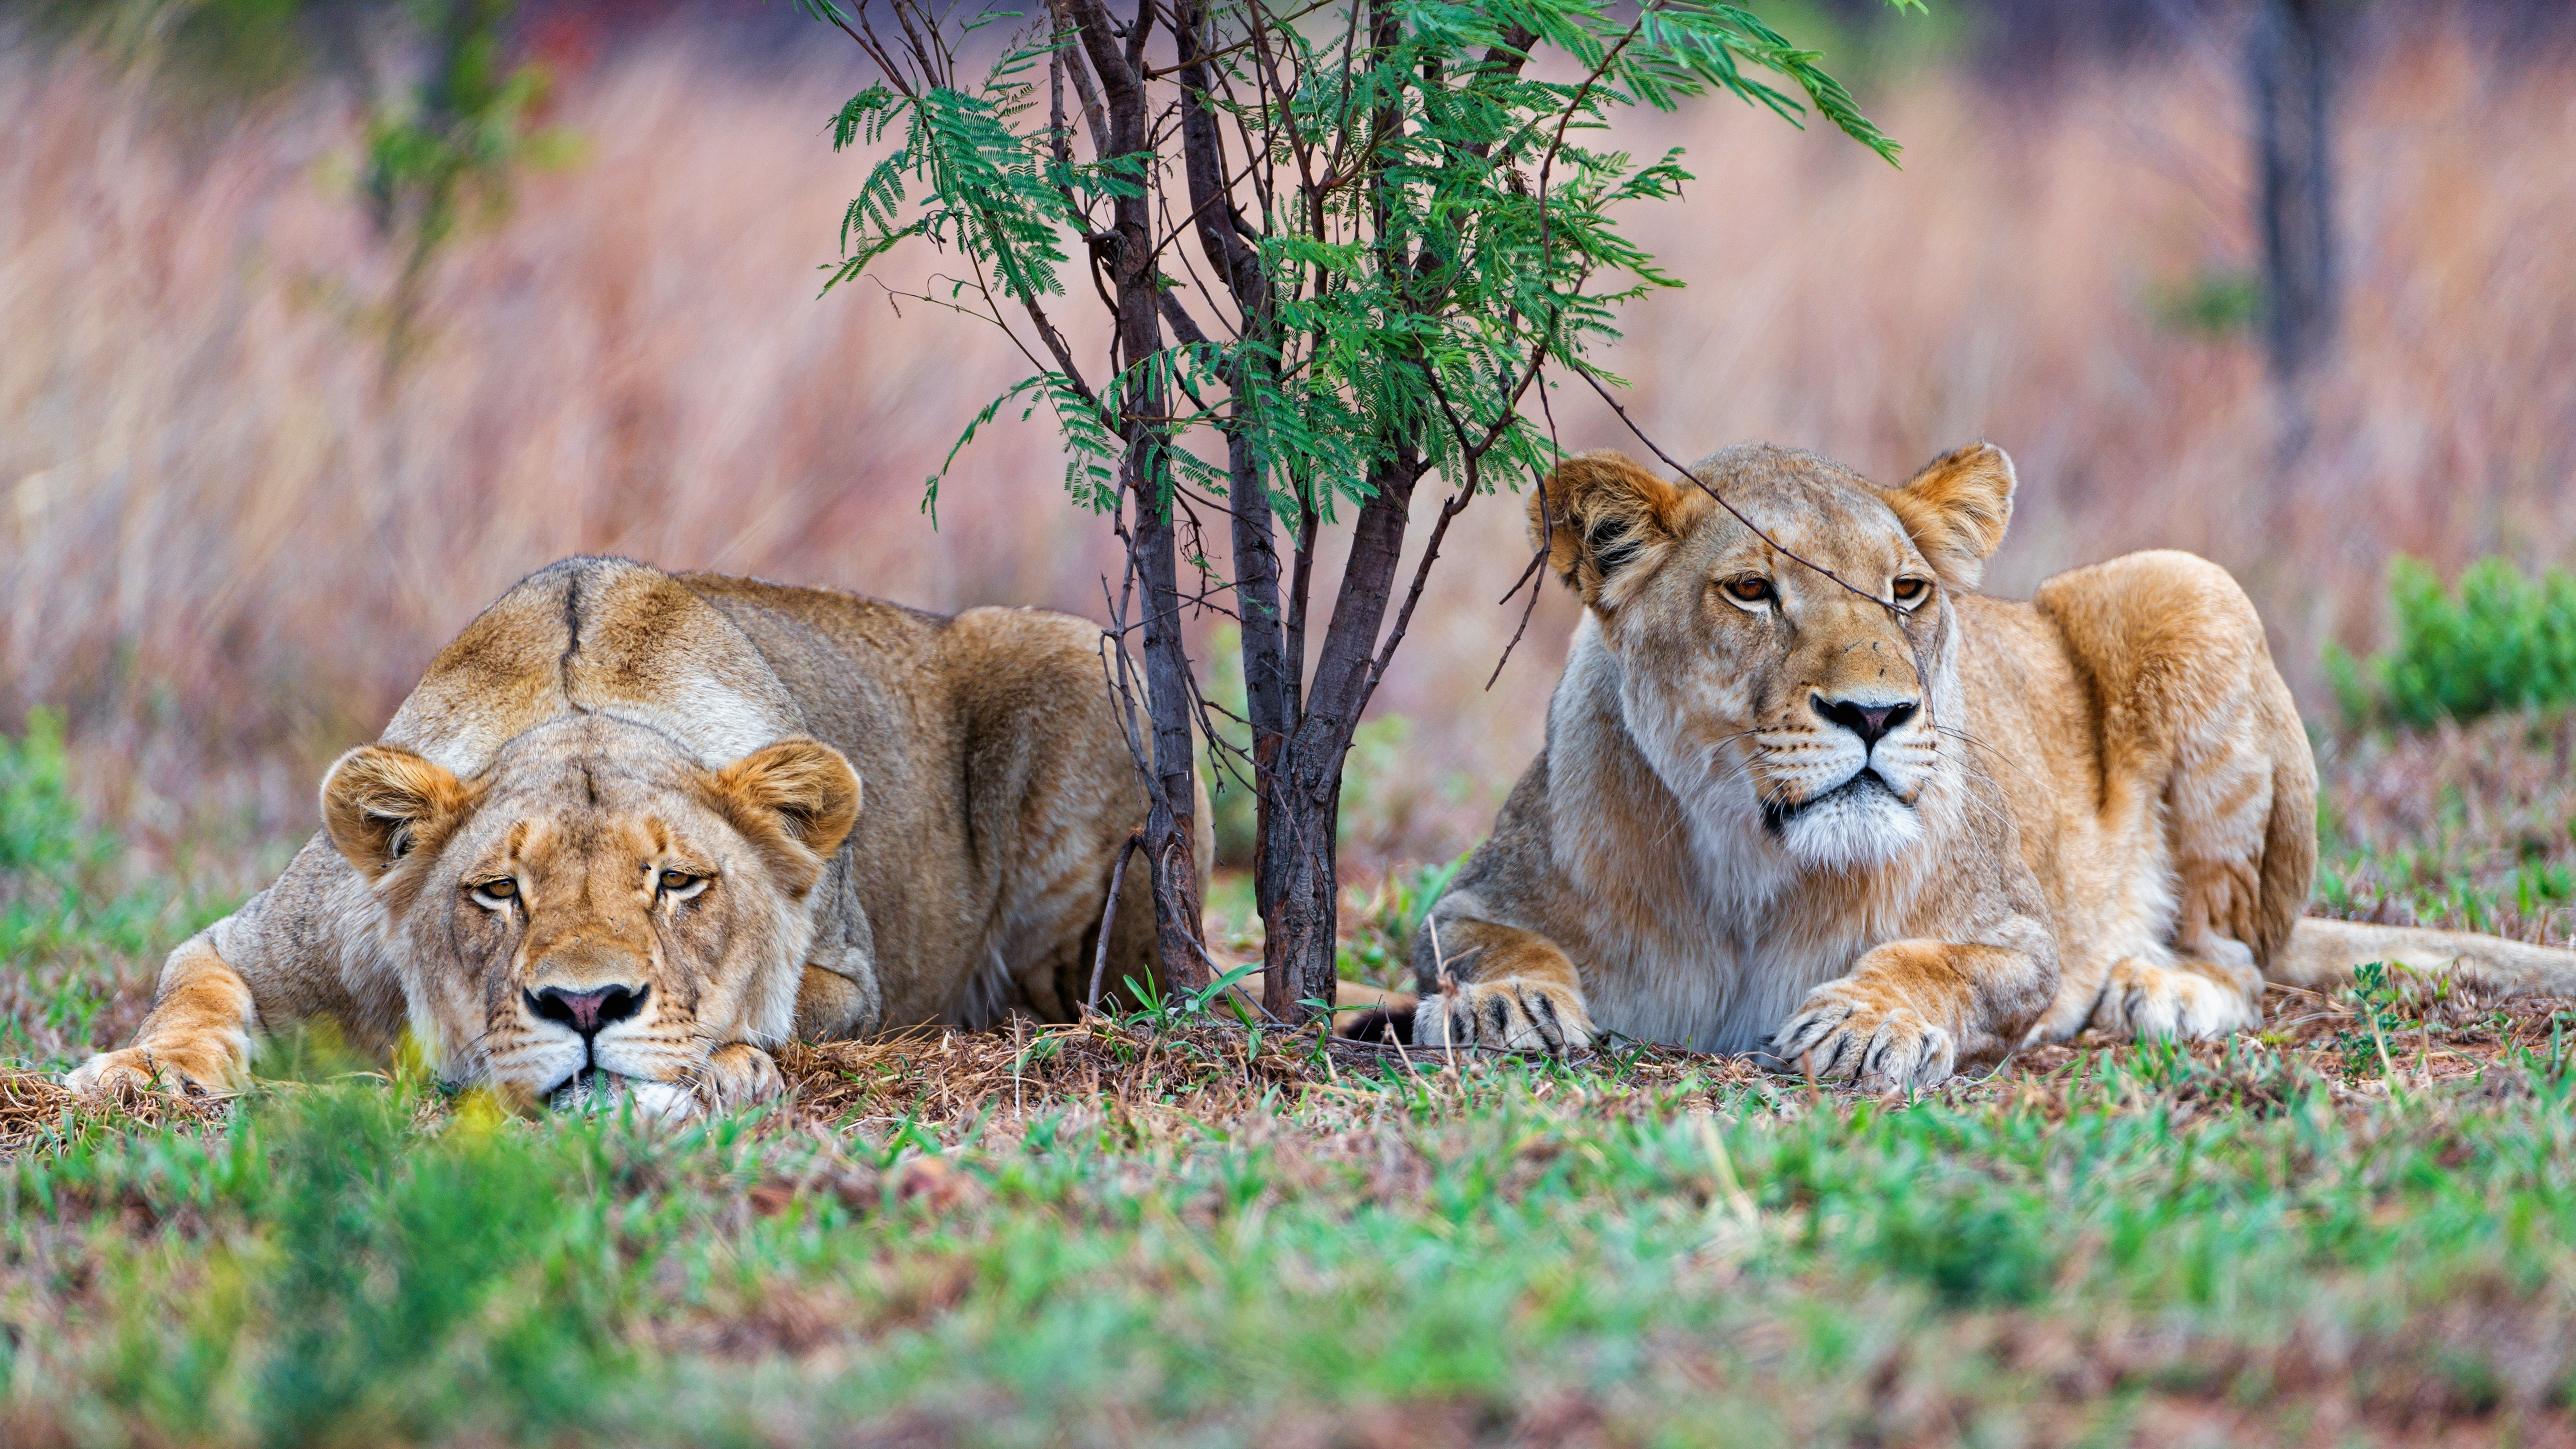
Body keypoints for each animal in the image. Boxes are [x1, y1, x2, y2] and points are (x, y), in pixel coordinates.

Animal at [58, 561, 1185, 1117]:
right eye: (498, 890)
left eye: (678, 882)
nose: (588, 1006)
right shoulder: (247, 945)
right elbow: (189, 1002)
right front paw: (140, 1075)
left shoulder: (852, 975)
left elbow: (773, 1007)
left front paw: (723, 1066)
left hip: (1082, 655)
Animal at [1401, 443, 2576, 1091]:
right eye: (1750, 591)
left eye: (1906, 590)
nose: (1875, 714)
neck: (1747, 865)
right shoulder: (1477, 893)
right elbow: (1476, 943)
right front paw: (1501, 1007)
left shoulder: (2018, 934)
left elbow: (1945, 964)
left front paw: (1867, 1025)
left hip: (2183, 584)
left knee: (2241, 957)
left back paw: (2159, 988)